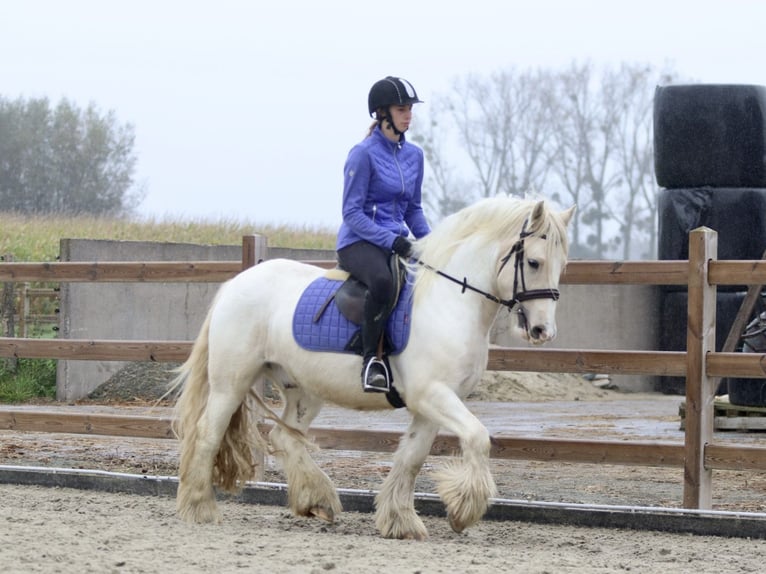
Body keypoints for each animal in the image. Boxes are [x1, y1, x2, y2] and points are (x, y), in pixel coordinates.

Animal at [172, 197, 576, 540]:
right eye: (535, 262)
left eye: (562, 266)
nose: (543, 331)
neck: (449, 301)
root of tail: (235, 284)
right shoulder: (433, 395)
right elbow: (478, 437)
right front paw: (463, 511)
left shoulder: (430, 406)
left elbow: (412, 458)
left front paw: (400, 521)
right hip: (231, 382)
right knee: (207, 434)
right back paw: (200, 507)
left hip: (303, 390)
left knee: (284, 437)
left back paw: (318, 501)